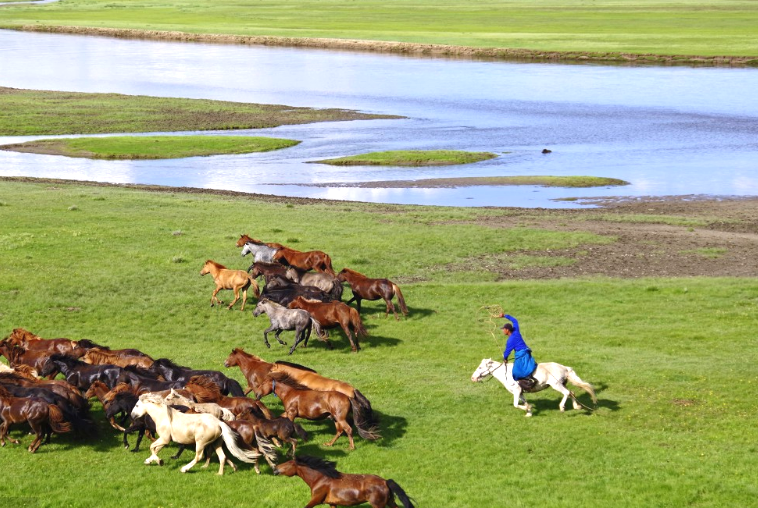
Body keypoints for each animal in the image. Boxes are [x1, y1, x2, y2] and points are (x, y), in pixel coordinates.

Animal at [131, 392, 280, 476]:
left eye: (137, 405)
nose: (132, 415)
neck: (164, 416)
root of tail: (219, 423)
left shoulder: (164, 439)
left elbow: (152, 447)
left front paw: (159, 461)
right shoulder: (163, 440)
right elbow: (155, 449)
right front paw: (150, 460)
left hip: (201, 443)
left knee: (199, 456)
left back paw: (185, 469)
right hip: (217, 443)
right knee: (222, 457)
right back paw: (220, 474)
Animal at [274, 456, 416, 508]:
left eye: (289, 463)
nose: (275, 469)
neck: (320, 479)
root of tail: (385, 481)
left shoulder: (316, 499)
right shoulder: (332, 503)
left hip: (378, 505)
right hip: (390, 502)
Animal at [470, 358, 600, 416]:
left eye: (480, 367)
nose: (473, 378)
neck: (505, 373)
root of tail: (564, 367)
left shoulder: (516, 390)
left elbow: (516, 404)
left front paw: (528, 408)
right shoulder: (521, 392)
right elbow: (523, 402)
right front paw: (529, 412)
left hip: (556, 385)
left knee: (567, 393)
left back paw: (562, 407)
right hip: (562, 384)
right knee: (572, 392)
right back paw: (576, 406)